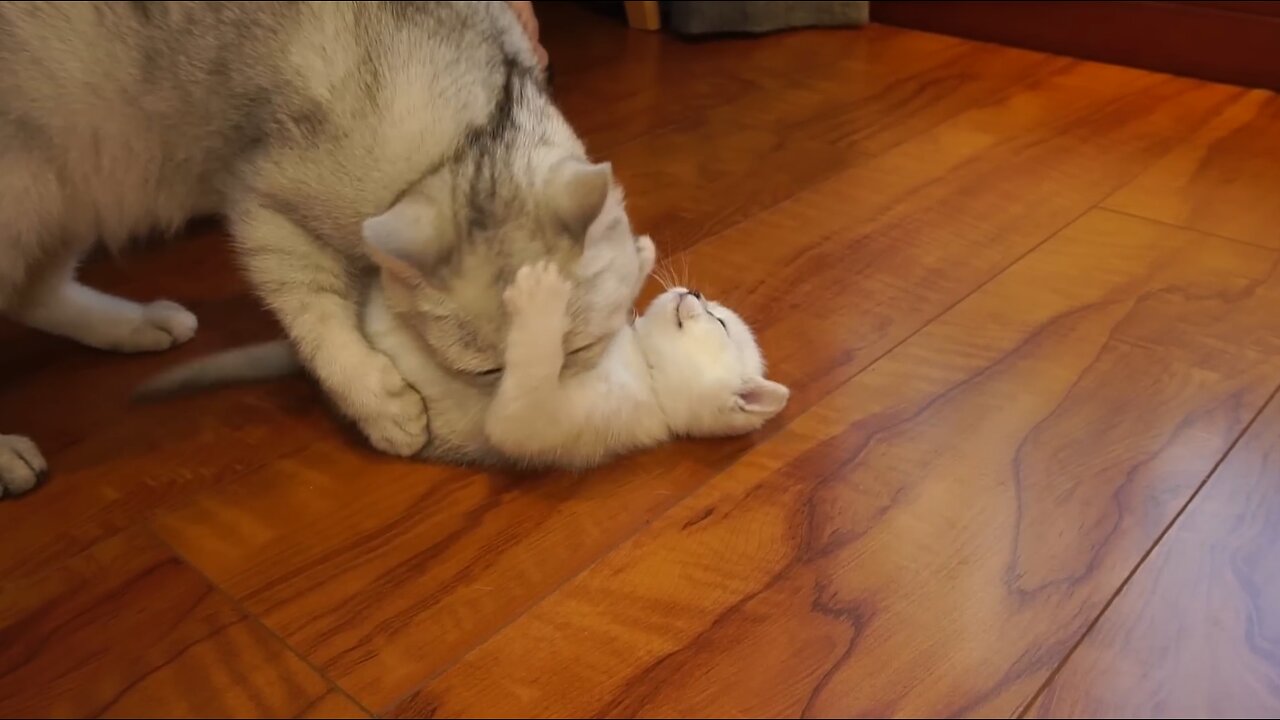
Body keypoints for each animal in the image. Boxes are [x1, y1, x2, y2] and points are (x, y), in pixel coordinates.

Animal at [0, 0, 645, 497]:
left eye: (579, 345)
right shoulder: (263, 210)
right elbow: (317, 324)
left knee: (33, 293)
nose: (543, 394)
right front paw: (382, 406)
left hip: (74, 186)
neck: (467, 137)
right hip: (32, 192)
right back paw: (10, 456)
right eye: (487, 370)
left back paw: (137, 325)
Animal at [486, 257, 788, 466]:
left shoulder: (538, 419)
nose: (695, 291)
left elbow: (534, 361)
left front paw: (540, 296)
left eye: (720, 322)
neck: (645, 367)